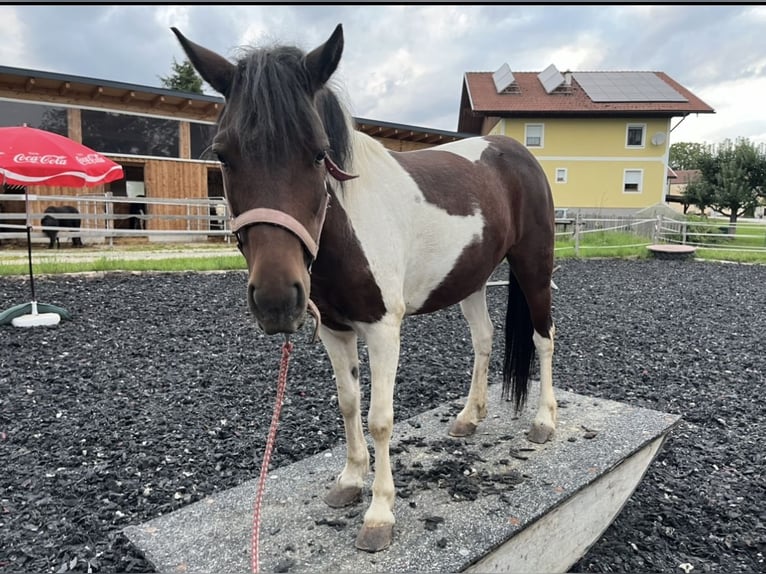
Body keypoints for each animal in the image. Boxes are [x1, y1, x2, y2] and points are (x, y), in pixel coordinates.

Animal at [173, 24, 557, 553]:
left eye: (319, 153)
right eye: (223, 156)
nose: (276, 301)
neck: (345, 225)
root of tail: (518, 153)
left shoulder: (382, 329)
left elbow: (380, 418)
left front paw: (379, 514)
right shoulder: (336, 330)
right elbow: (349, 403)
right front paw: (350, 481)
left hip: (533, 267)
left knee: (543, 338)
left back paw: (544, 421)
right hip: (471, 279)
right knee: (483, 338)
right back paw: (470, 416)